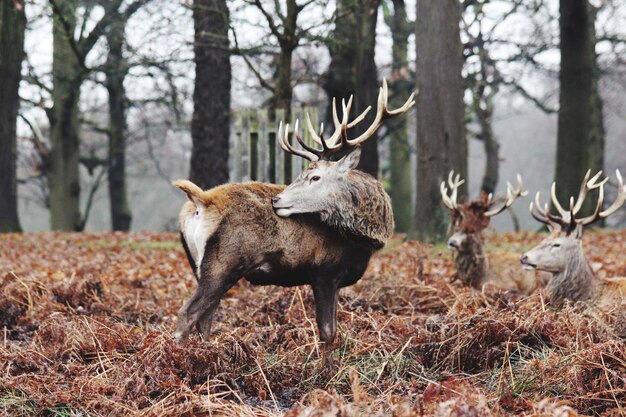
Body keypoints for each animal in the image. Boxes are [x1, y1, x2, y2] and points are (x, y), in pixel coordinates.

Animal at [173, 80, 412, 360]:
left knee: (205, 317)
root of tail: (201, 201)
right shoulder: (324, 272)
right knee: (188, 313)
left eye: (315, 177)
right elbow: (327, 332)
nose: (276, 200)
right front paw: (326, 368)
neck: (361, 242)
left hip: (197, 263)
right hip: (225, 262)